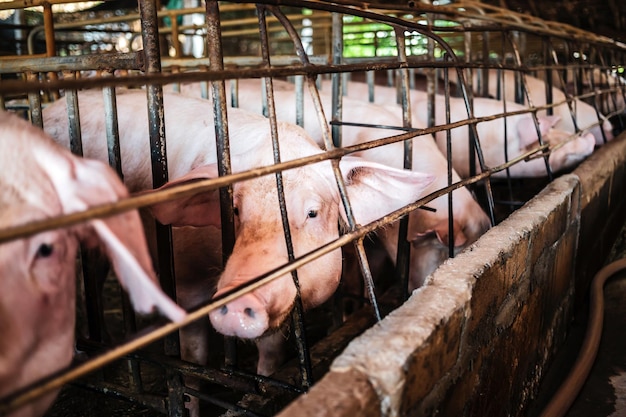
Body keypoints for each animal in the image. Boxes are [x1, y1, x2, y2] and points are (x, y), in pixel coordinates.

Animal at [42, 88, 434, 386]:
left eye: (312, 212)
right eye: (234, 210)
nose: (238, 298)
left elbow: (270, 354)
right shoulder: (186, 282)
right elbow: (193, 361)